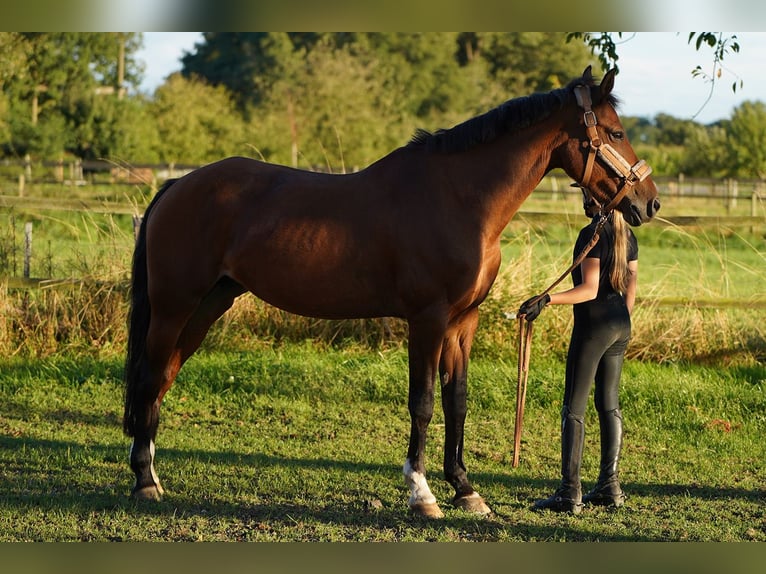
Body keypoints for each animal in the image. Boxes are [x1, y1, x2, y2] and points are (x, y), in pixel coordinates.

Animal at [121, 65, 660, 520]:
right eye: (616, 132)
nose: (648, 201)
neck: (457, 199)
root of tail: (177, 185)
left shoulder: (463, 322)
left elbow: (456, 401)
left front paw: (465, 490)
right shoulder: (427, 319)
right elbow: (422, 402)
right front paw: (422, 494)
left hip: (208, 304)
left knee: (163, 377)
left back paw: (151, 474)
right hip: (174, 307)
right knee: (149, 378)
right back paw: (145, 483)